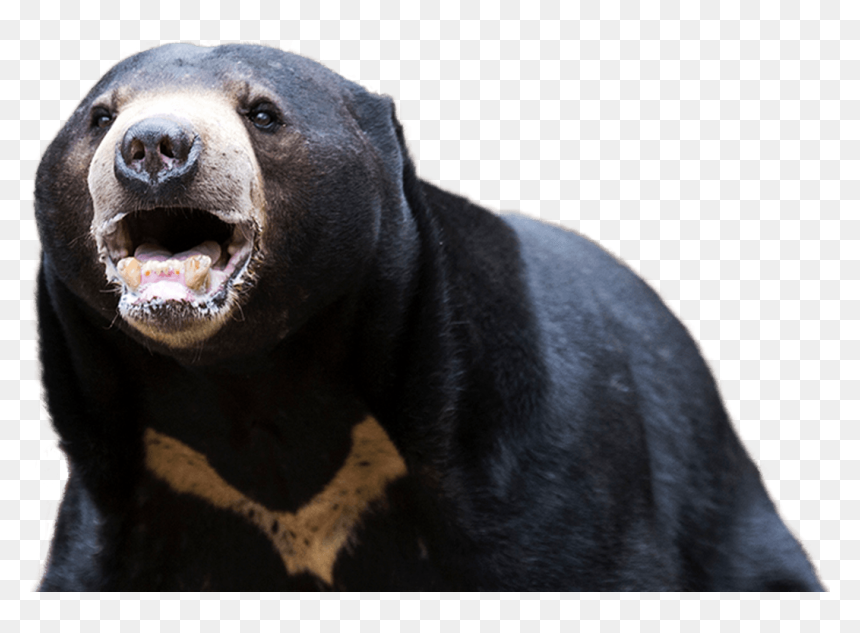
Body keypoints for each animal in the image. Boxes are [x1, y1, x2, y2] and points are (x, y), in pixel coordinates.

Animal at [33, 43, 823, 591]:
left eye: (262, 113)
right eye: (99, 117)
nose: (154, 147)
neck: (253, 378)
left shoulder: (525, 452)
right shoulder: (124, 498)